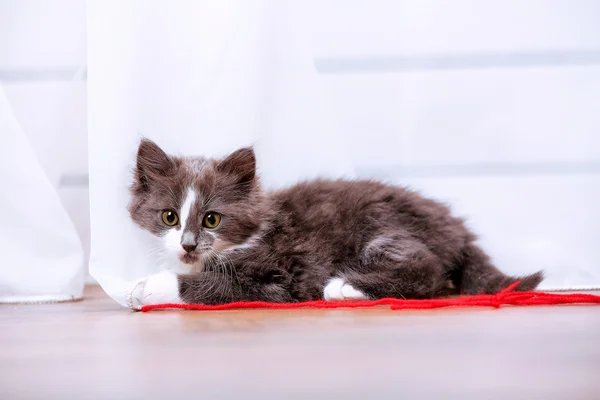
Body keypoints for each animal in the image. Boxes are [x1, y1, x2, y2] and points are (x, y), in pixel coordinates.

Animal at [126, 139, 544, 308]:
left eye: (211, 219)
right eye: (170, 217)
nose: (188, 244)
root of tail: (457, 229)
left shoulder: (282, 272)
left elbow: (221, 285)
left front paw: (150, 286)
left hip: (385, 227)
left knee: (430, 271)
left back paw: (344, 287)